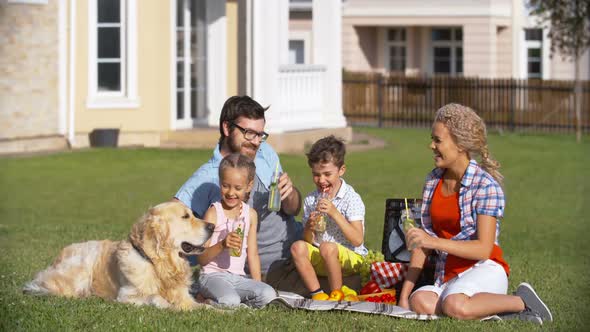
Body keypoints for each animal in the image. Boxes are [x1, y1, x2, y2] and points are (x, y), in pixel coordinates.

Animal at [24, 202, 217, 312]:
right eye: (185, 216)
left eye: (193, 214)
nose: (212, 226)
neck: (157, 264)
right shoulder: (126, 295)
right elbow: (154, 297)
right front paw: (170, 306)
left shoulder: (185, 297)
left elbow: (204, 307)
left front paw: (220, 312)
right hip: (79, 271)